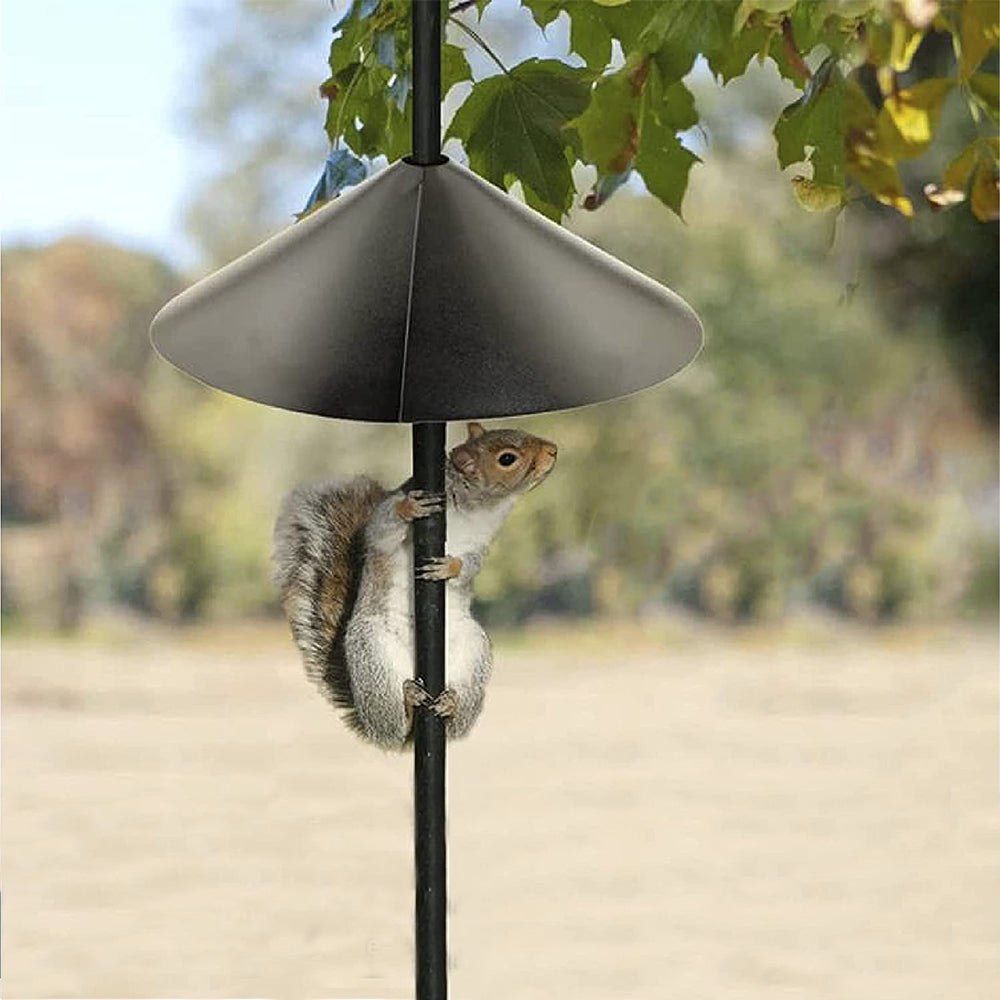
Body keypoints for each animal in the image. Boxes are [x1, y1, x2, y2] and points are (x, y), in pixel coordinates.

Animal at [272, 422, 558, 750]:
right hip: (372, 655)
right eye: (507, 459)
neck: (475, 508)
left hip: (474, 650)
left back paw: (451, 705)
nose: (553, 450)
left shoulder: (480, 546)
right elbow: (382, 530)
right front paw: (408, 508)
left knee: (455, 726)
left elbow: (470, 565)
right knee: (394, 726)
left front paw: (450, 567)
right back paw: (408, 705)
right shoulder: (384, 524)